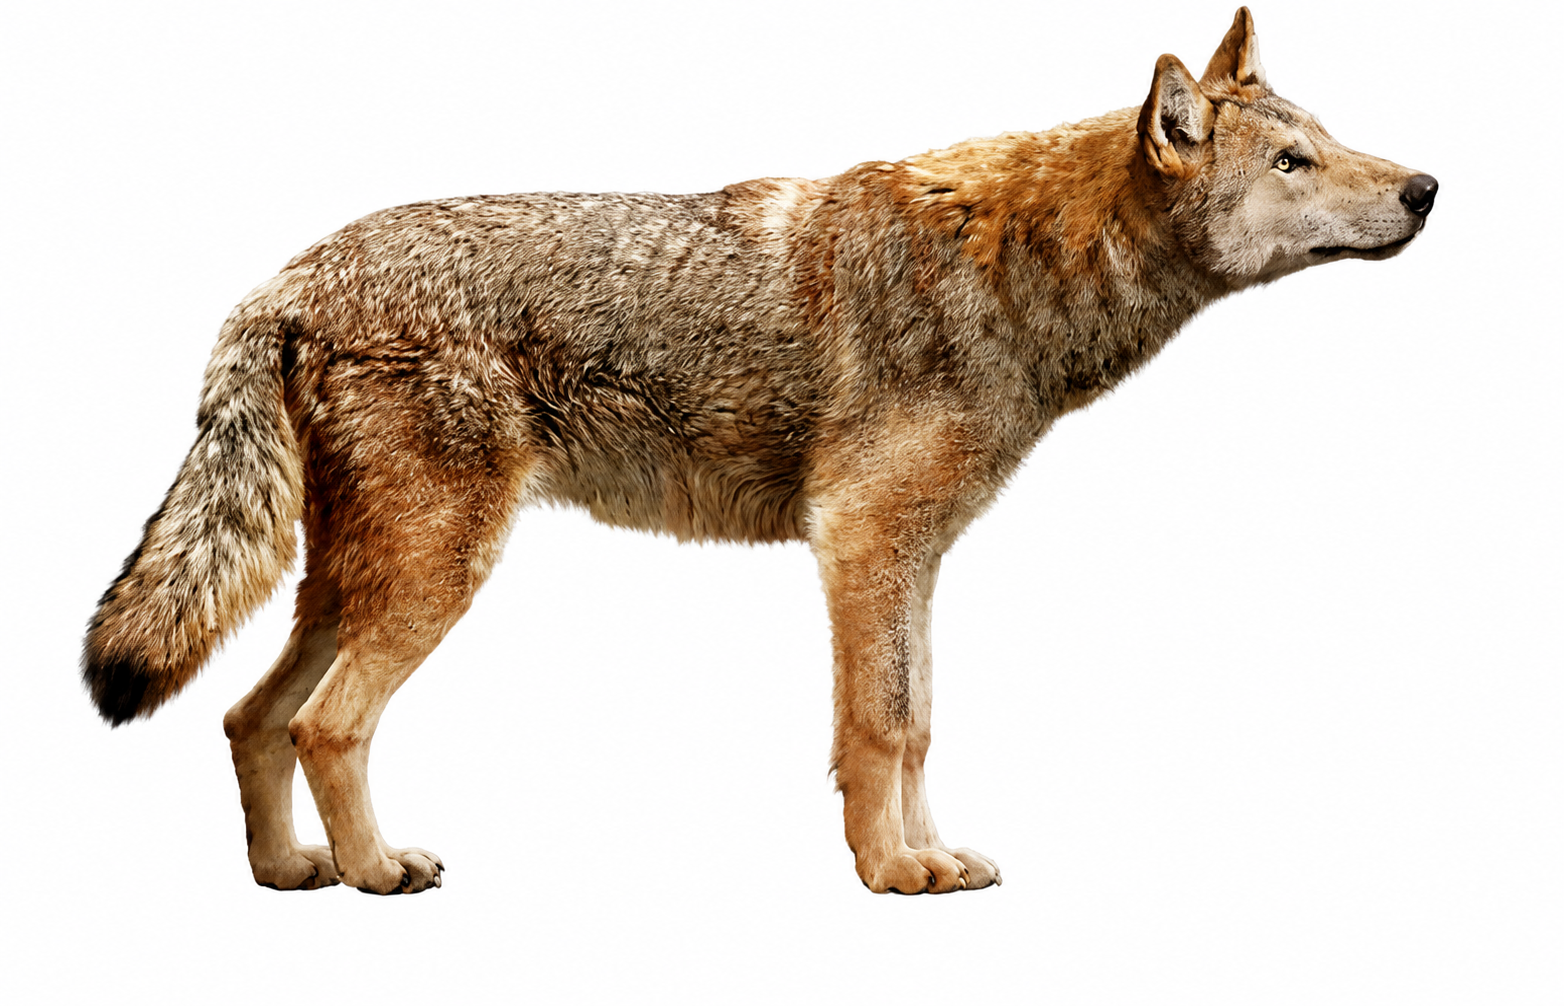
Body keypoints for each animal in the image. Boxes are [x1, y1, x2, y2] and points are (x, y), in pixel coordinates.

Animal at [83, 8, 1436, 895]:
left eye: (1330, 139)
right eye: (1294, 161)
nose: (1426, 187)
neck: (1021, 273)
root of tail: (281, 278)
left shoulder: (910, 558)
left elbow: (918, 721)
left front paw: (926, 854)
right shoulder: (861, 543)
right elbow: (879, 726)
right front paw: (891, 873)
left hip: (347, 581)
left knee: (248, 717)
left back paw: (287, 872)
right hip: (431, 577)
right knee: (322, 725)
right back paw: (375, 871)